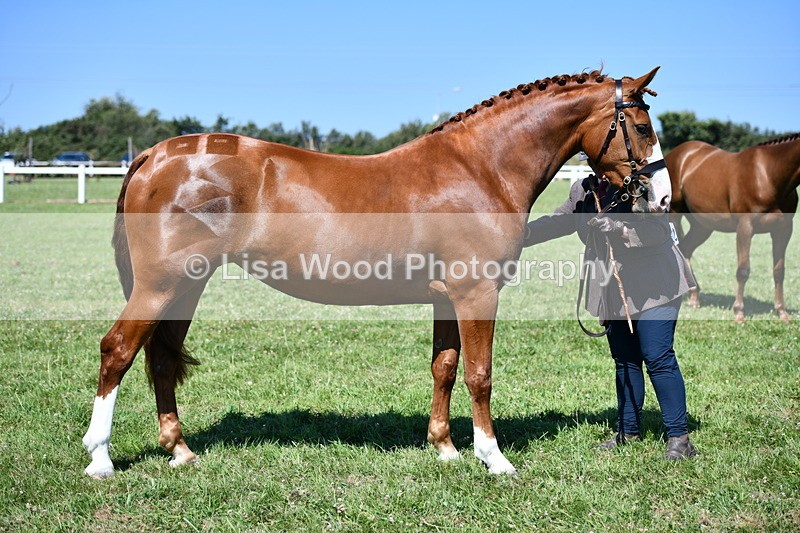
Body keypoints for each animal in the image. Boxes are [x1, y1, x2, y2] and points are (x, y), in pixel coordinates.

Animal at [83, 68, 670, 479]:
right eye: (641, 127)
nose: (661, 197)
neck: (480, 168)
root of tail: (157, 155)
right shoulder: (476, 293)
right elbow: (479, 374)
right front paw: (493, 458)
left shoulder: (446, 298)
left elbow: (445, 368)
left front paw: (445, 448)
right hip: (161, 285)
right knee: (118, 350)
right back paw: (100, 459)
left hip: (188, 286)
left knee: (160, 359)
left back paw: (180, 452)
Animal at [666, 133, 800, 322]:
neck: (768, 174)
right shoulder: (745, 227)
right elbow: (743, 270)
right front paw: (739, 312)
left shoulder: (783, 230)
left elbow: (779, 271)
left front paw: (782, 312)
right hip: (673, 215)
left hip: (702, 226)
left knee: (685, 250)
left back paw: (694, 297)